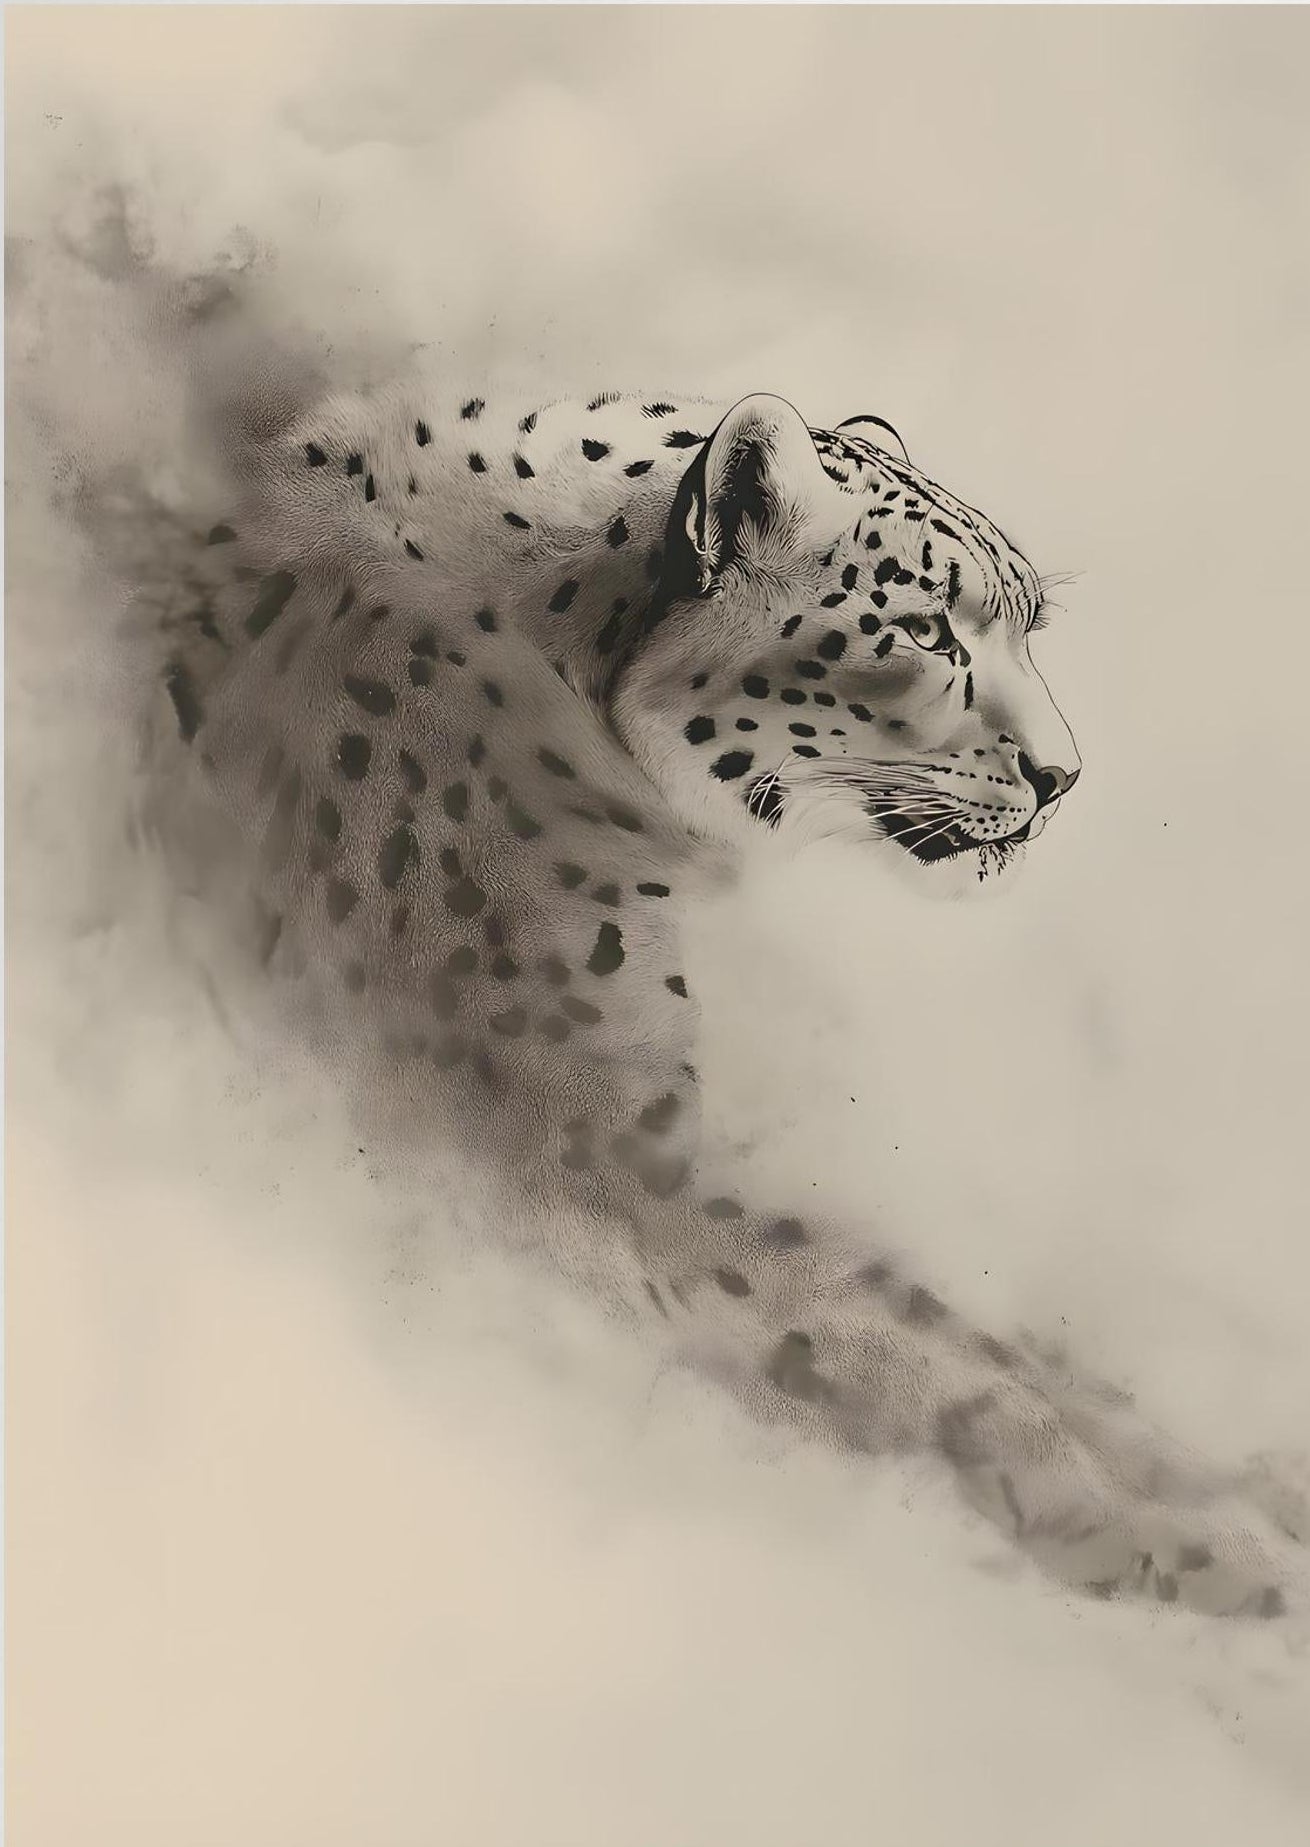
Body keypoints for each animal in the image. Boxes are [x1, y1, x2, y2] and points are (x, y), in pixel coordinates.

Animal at [107, 340, 1305, 1624]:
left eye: (1029, 624)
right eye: (924, 629)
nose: (1061, 776)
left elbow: (958, 1326)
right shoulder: (586, 1146)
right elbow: (895, 1344)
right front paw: (1210, 1544)